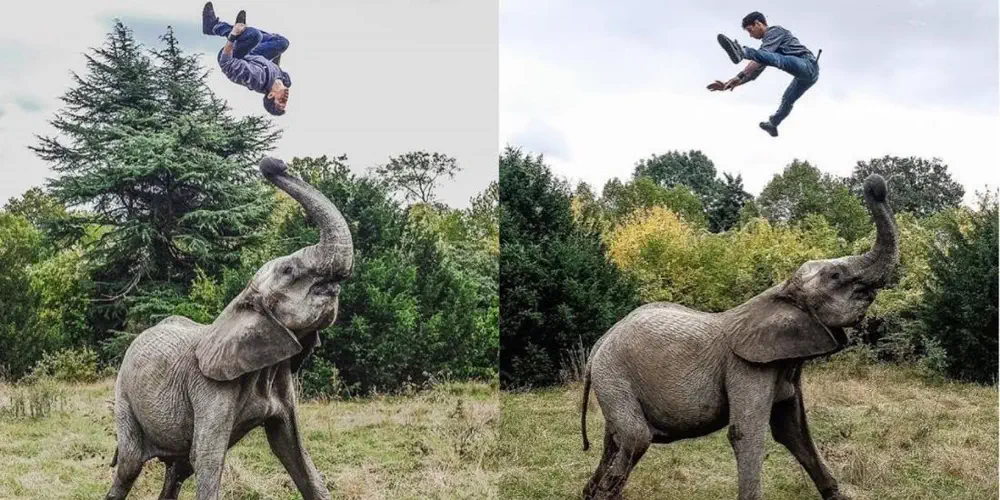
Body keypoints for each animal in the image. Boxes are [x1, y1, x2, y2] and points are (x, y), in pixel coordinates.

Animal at [105, 157, 353, 500]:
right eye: (289, 270)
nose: (274, 163)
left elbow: (293, 452)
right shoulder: (208, 388)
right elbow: (208, 458)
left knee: (178, 468)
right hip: (124, 397)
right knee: (129, 465)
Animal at [579, 174, 898, 500]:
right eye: (835, 276)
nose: (876, 185)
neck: (779, 291)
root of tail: (598, 347)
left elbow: (793, 431)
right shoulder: (746, 366)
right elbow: (747, 433)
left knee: (614, 440)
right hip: (614, 375)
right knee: (635, 438)